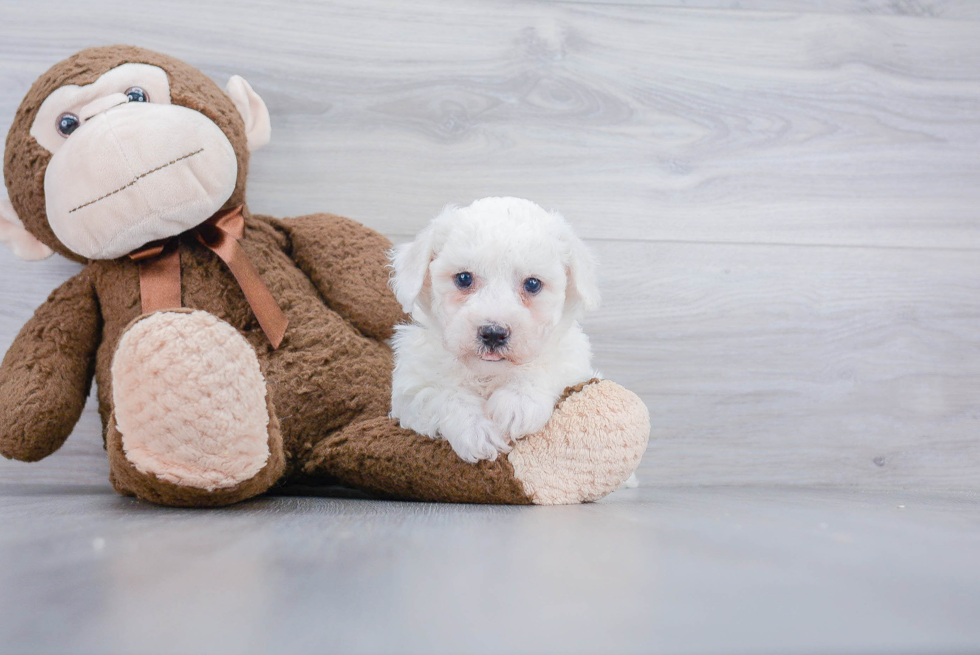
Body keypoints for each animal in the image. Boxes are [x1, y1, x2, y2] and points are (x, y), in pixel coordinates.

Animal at [386, 197, 600, 464]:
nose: (493, 334)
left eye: (532, 284)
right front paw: (476, 431)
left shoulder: (574, 365)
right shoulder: (411, 388)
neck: (488, 373)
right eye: (464, 278)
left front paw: (517, 403)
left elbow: (545, 367)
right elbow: (443, 394)